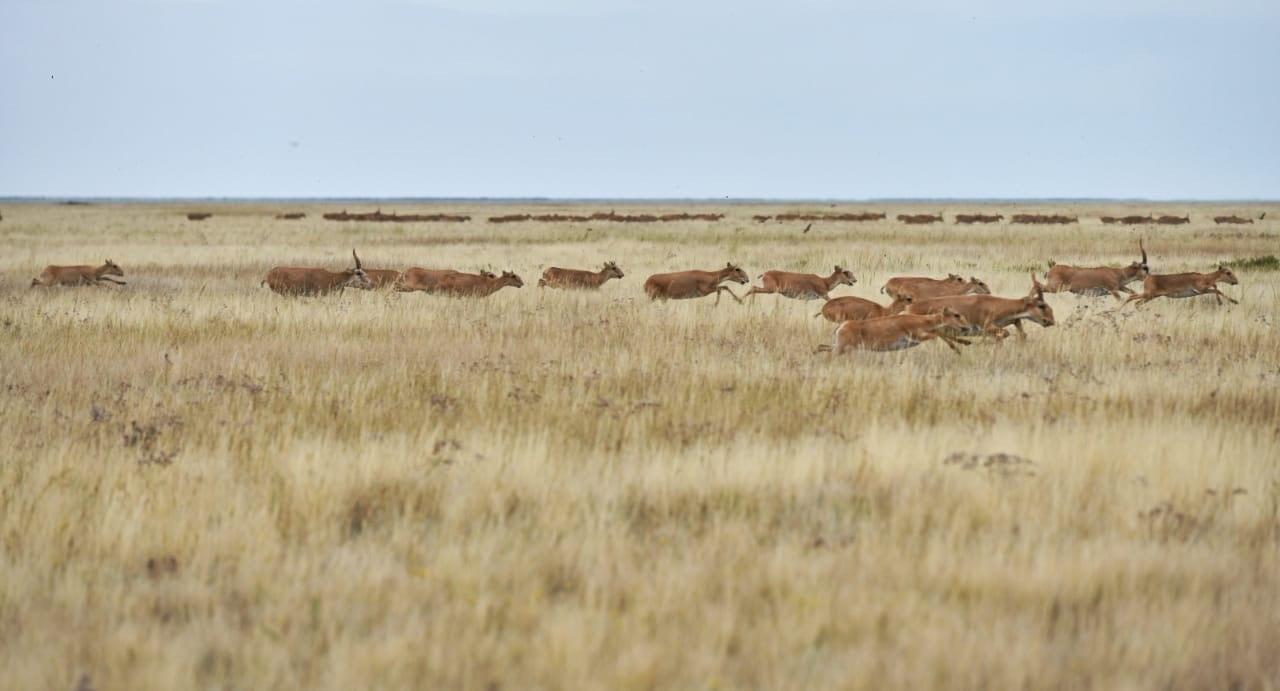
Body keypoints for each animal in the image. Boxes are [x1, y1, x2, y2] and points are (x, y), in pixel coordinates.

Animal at [817, 308, 970, 355]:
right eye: (956, 315)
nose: (967, 327)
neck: (924, 320)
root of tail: (842, 326)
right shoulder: (917, 336)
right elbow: (939, 333)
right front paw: (959, 347)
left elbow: (941, 333)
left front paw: (964, 343)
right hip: (841, 348)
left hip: (839, 347)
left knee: (821, 347)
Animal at [907, 274, 1055, 340]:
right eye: (1041, 305)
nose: (1051, 321)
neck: (999, 305)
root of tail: (910, 306)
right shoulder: (987, 326)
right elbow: (1003, 334)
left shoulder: (1014, 321)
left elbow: (1022, 333)